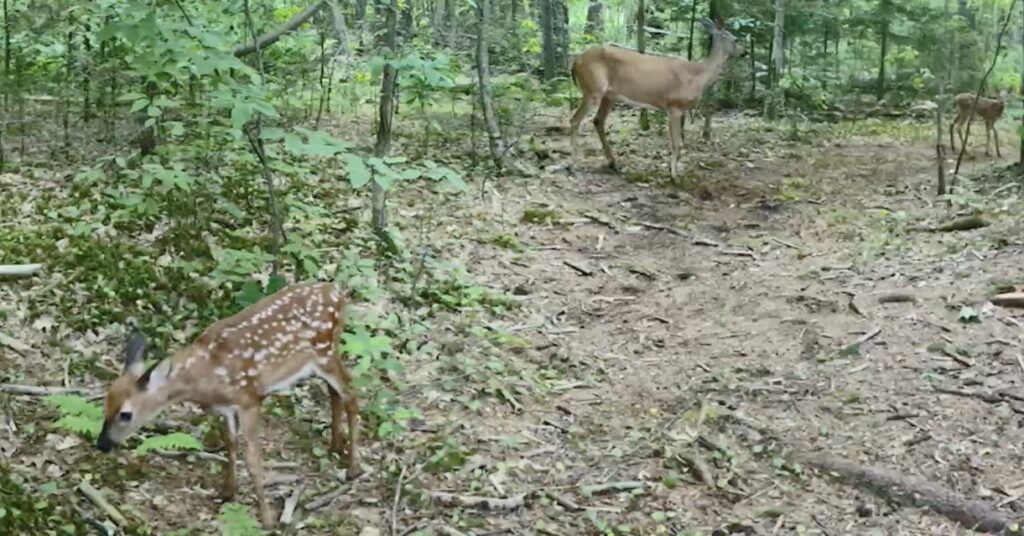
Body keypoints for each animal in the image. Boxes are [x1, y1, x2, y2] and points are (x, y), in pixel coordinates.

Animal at [95, 281, 360, 527]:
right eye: (104, 404)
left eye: (126, 414)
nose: (102, 444)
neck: (206, 378)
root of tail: (338, 291)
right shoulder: (227, 408)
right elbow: (230, 443)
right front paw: (227, 492)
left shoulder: (250, 399)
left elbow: (252, 459)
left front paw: (266, 519)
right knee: (335, 392)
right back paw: (335, 446)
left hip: (324, 351)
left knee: (351, 394)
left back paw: (352, 469)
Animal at [569, 17, 744, 178]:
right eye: (735, 39)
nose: (745, 52)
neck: (698, 76)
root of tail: (575, 62)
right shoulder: (674, 105)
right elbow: (677, 143)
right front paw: (674, 176)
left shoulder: (673, 109)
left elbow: (676, 142)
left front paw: (673, 171)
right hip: (593, 89)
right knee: (575, 120)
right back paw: (573, 165)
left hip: (609, 95)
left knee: (598, 120)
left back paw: (613, 163)